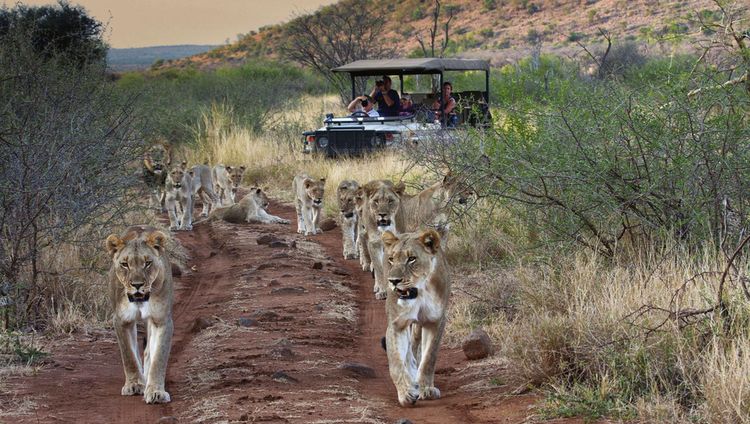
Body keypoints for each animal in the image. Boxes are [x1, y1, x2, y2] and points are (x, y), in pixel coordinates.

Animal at [105, 225, 174, 404]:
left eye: (147, 263)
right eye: (124, 264)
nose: (137, 285)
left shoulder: (161, 319)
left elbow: (158, 357)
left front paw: (156, 391)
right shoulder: (121, 320)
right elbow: (128, 355)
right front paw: (134, 384)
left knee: (149, 351)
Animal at [384, 229, 450, 408]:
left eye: (411, 258)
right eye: (391, 259)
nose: (393, 281)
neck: (421, 291)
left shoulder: (435, 321)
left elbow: (428, 359)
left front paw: (426, 389)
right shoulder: (396, 324)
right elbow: (396, 363)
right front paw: (406, 393)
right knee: (407, 354)